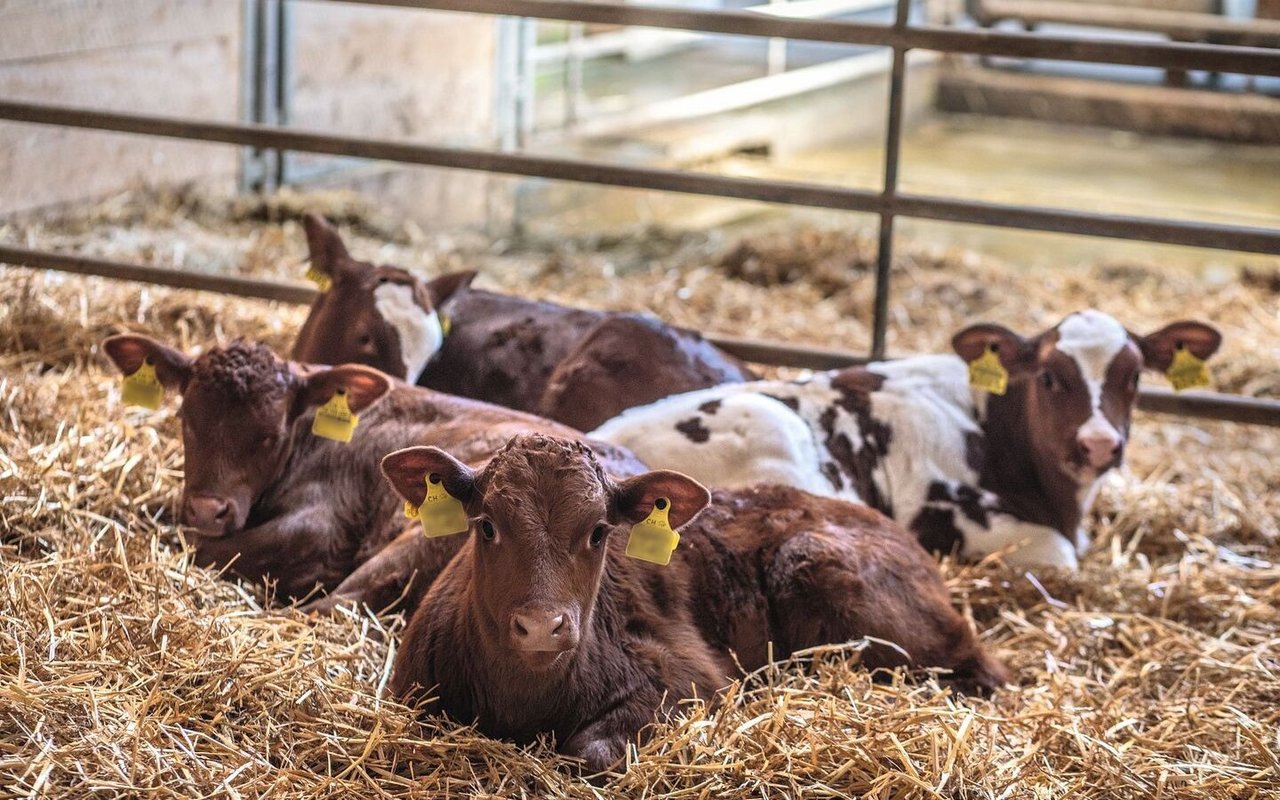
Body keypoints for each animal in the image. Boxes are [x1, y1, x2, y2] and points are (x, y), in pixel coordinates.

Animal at [378, 432, 1008, 773]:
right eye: (486, 525)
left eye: (599, 531)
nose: (540, 626)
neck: (522, 699)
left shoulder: (692, 676)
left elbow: (589, 749)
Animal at [593, 311, 1223, 568]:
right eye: (1049, 376)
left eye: (1134, 377)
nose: (1098, 444)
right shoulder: (950, 514)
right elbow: (1061, 557)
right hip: (777, 432)